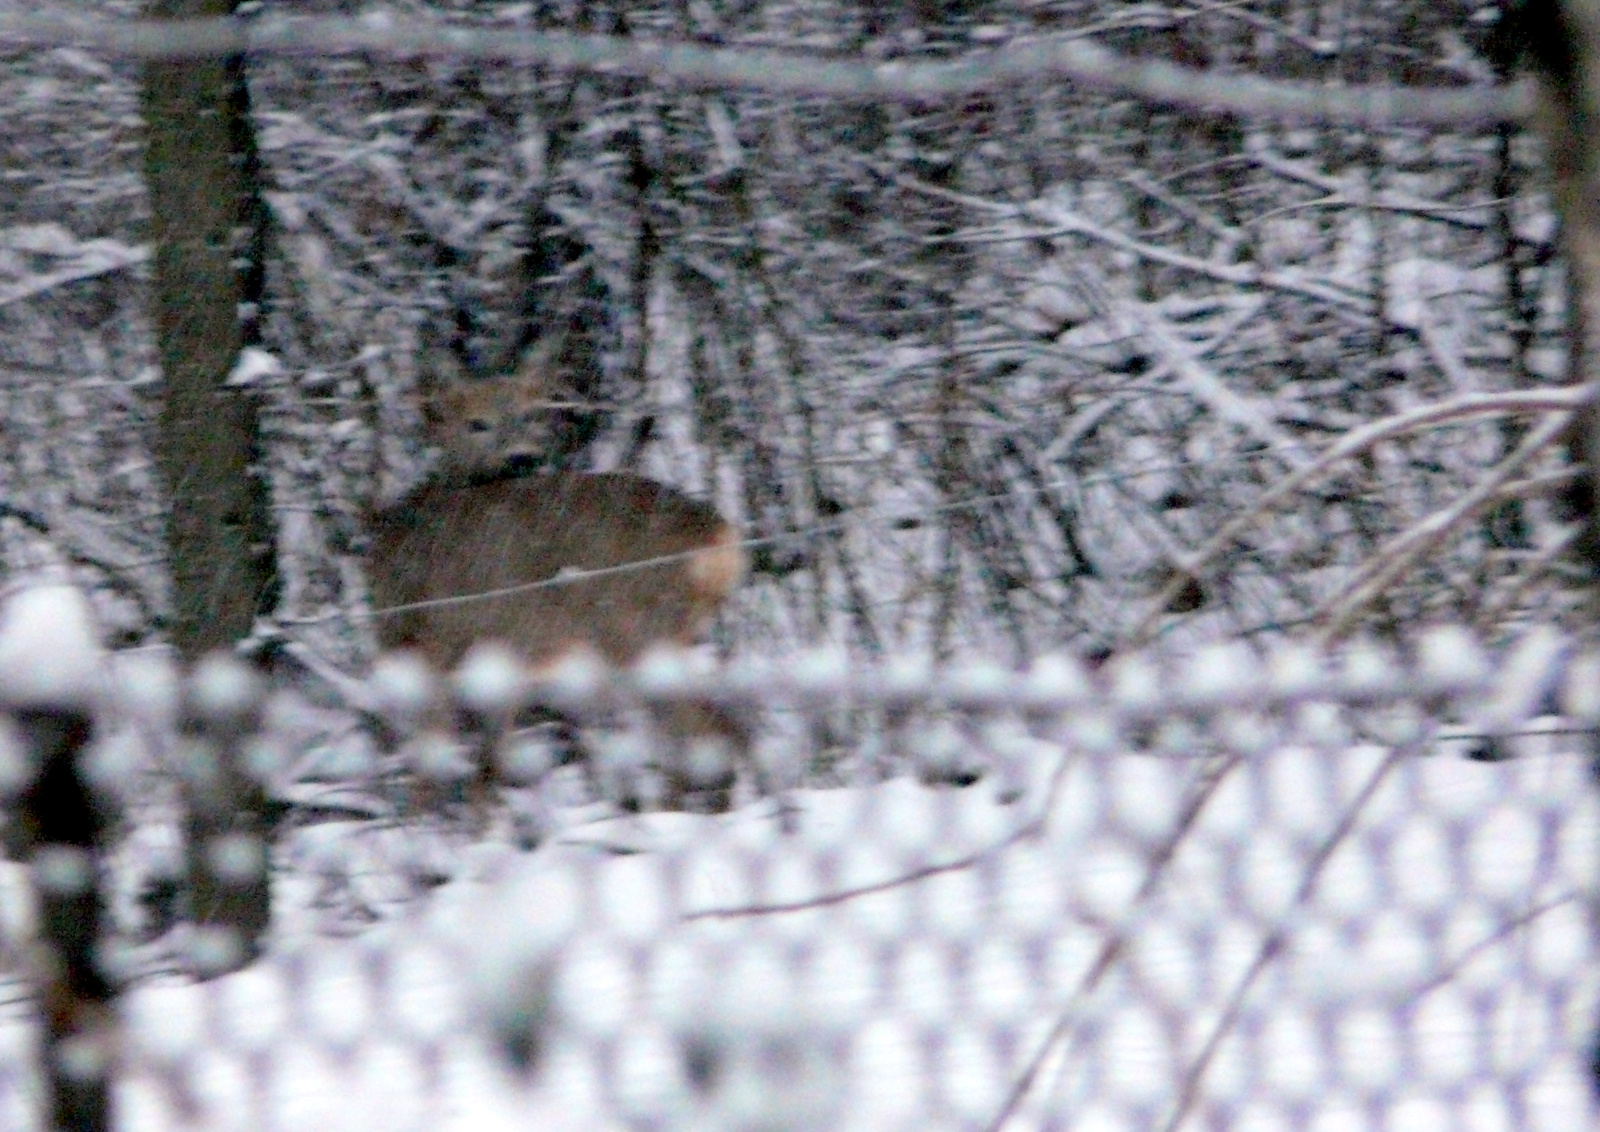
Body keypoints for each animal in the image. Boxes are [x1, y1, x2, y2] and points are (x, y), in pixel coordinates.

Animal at [366, 348, 752, 809]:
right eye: (476, 423)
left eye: (530, 414)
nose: (523, 458)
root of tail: (721, 537)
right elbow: (488, 764)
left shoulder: (441, 642)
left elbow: (436, 758)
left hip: (637, 631)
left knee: (711, 725)